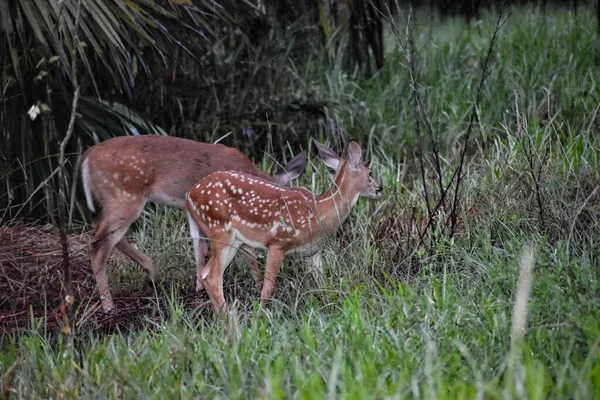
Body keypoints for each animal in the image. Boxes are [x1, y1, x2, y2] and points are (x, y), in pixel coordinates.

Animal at [79, 134, 304, 312]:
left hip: (113, 203)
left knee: (100, 231)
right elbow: (247, 252)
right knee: (98, 246)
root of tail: (87, 157)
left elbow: (198, 246)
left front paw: (198, 287)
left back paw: (151, 272)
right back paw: (109, 305)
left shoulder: (193, 207)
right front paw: (257, 283)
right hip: (124, 197)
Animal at [188, 141, 382, 312]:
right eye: (370, 173)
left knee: (205, 274)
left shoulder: (313, 251)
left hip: (232, 240)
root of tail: (189, 195)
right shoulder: (277, 243)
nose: (380, 189)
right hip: (219, 229)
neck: (318, 212)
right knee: (213, 277)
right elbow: (267, 289)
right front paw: (260, 317)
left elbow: (324, 285)